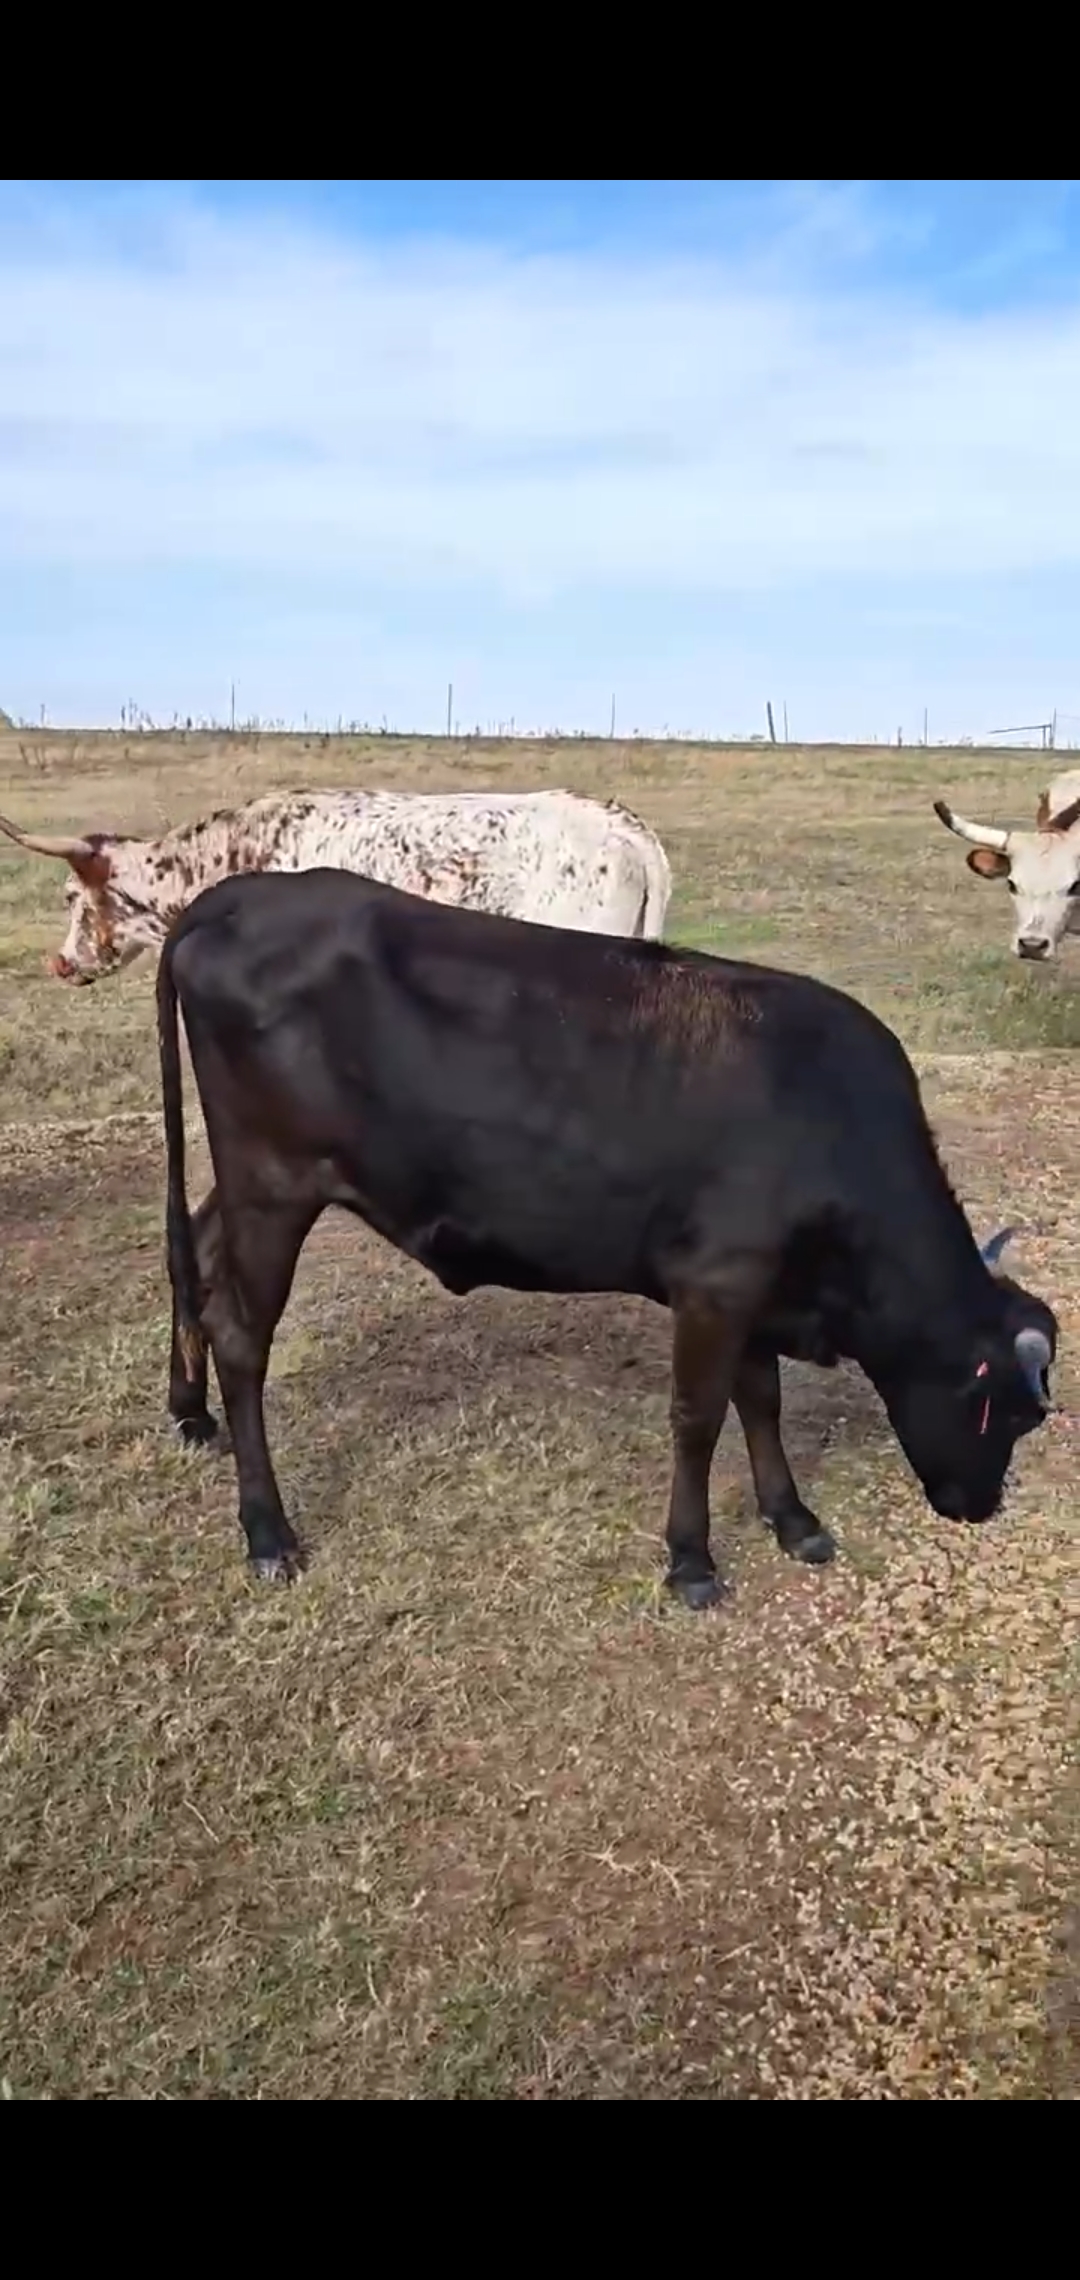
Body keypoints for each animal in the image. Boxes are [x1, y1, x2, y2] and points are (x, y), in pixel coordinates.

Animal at [156, 869, 1058, 1607]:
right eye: (1008, 1413)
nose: (980, 1508)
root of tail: (241, 895)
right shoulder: (715, 1285)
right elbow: (699, 1416)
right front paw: (691, 1559)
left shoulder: (754, 1288)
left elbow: (760, 1400)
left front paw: (792, 1516)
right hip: (273, 1183)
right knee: (241, 1335)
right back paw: (267, 1532)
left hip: (250, 1185)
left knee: (194, 1257)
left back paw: (189, 1410)